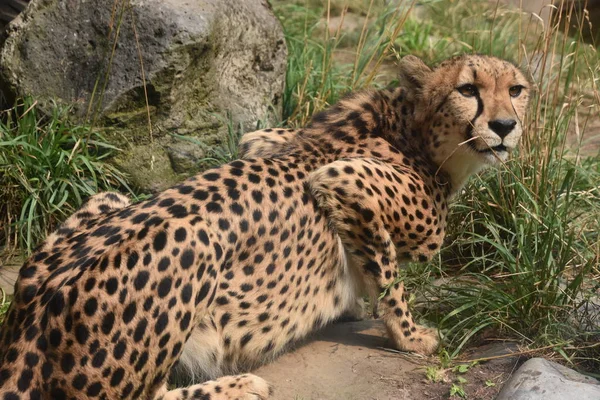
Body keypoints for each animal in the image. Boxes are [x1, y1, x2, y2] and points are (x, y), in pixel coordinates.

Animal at [0, 54, 528, 398]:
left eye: (516, 90)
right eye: (467, 90)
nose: (505, 126)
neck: (413, 129)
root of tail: (28, 318)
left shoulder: (261, 139)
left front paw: (357, 305)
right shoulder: (343, 181)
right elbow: (391, 276)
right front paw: (411, 336)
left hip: (108, 199)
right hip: (198, 239)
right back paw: (239, 385)